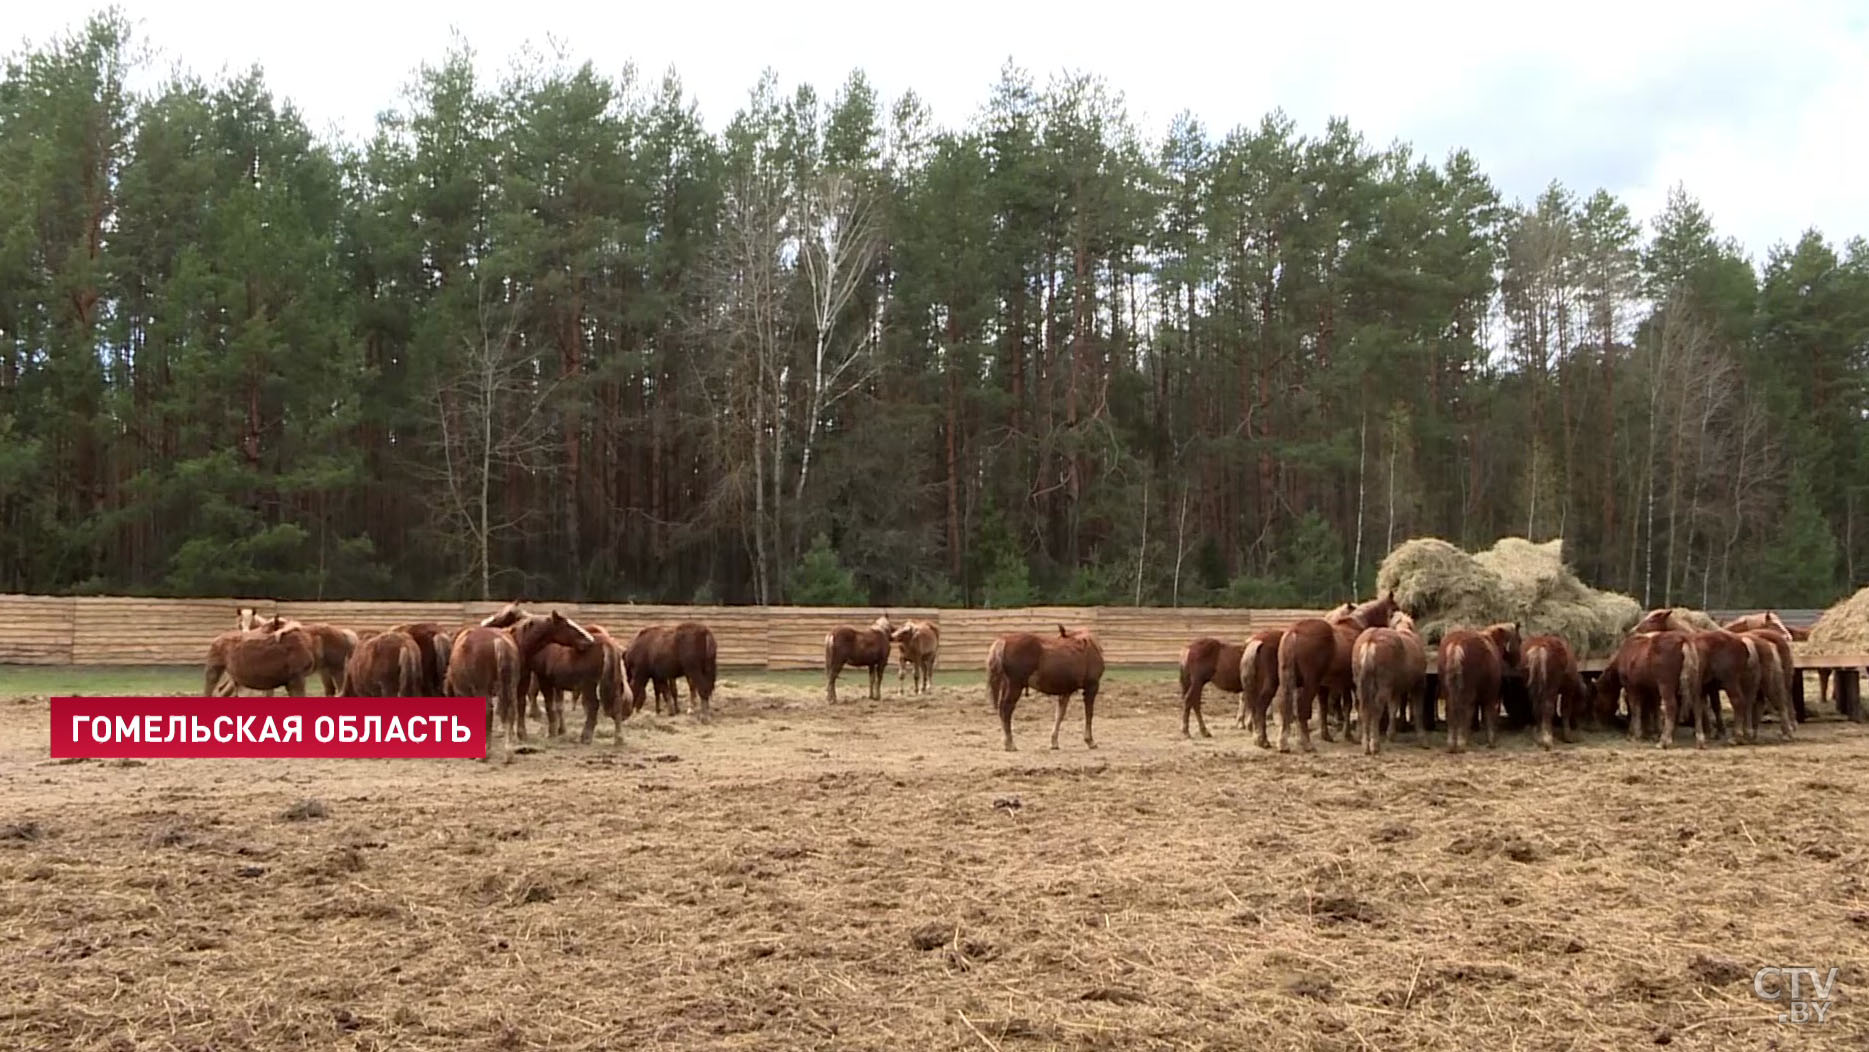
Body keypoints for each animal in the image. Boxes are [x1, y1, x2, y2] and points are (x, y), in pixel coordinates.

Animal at [986, 620, 1098, 754]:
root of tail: (1003, 640)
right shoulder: (1092, 687)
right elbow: (1089, 713)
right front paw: (1090, 741)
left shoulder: (1065, 691)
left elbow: (1059, 714)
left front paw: (1054, 742)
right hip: (1014, 686)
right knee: (1006, 710)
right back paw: (1010, 744)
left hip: (1006, 685)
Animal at [1353, 609, 1420, 758]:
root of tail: (1371, 640)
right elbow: (1393, 708)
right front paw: (1391, 734)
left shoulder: (1395, 689)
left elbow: (1393, 708)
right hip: (1384, 686)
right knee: (1377, 709)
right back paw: (1375, 745)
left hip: (1361, 684)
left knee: (1363, 709)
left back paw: (1365, 744)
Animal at [1435, 620, 1525, 754]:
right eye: (1519, 640)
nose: (1518, 662)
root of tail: (1456, 644)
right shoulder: (1491, 696)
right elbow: (1488, 715)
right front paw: (1491, 741)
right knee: (1465, 711)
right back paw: (1461, 744)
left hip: (1448, 693)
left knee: (1451, 711)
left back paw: (1452, 745)